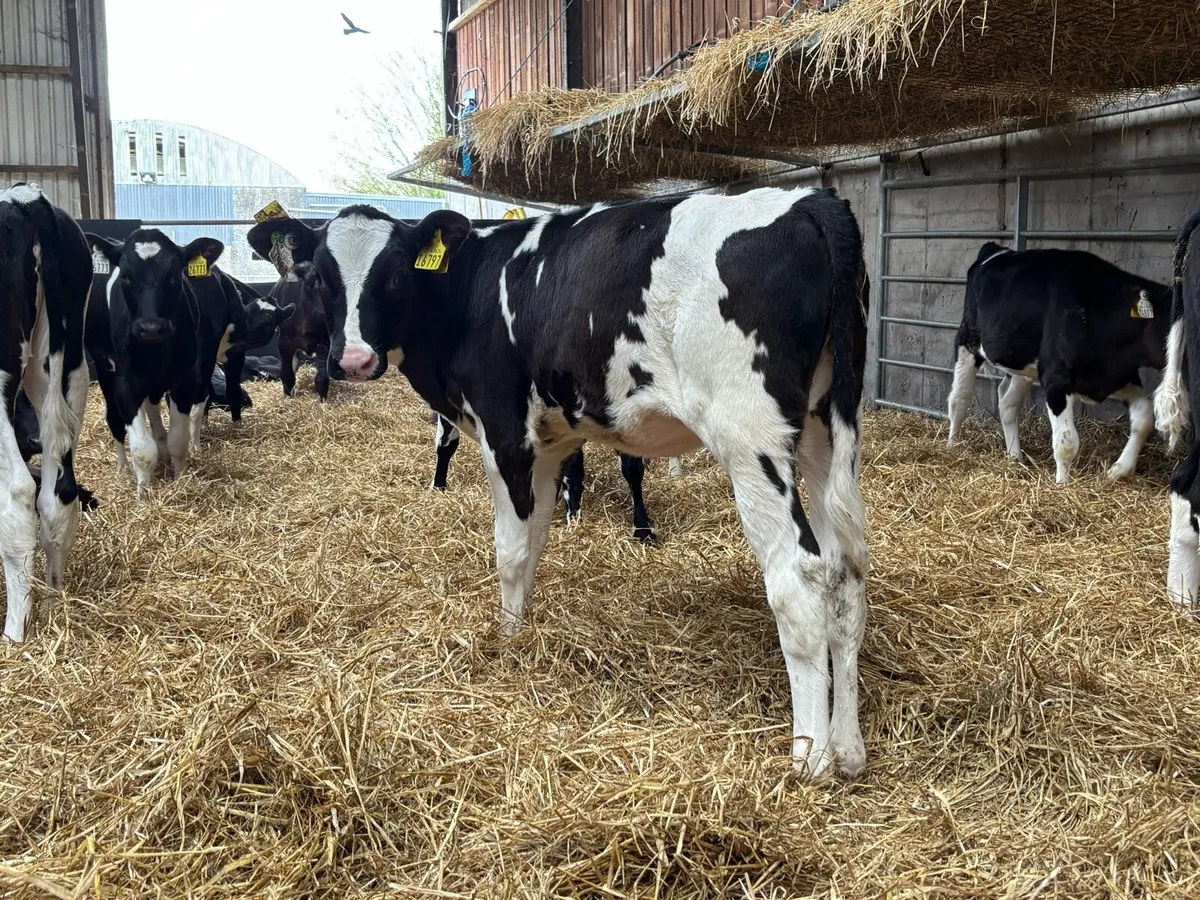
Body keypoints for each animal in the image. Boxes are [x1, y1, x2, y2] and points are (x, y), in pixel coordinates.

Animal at [85, 229, 217, 494]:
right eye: (125, 276)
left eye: (174, 274)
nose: (150, 327)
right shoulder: (126, 384)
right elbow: (143, 449)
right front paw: (143, 493)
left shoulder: (184, 380)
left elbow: (178, 440)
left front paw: (179, 479)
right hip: (105, 370)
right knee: (115, 421)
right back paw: (122, 470)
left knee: (154, 414)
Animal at [247, 186, 870, 779]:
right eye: (319, 276)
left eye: (397, 273)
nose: (351, 360)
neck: (468, 290)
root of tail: (812, 202)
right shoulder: (550, 444)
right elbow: (536, 540)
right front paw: (521, 633)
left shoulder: (505, 431)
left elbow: (509, 550)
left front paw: (505, 643)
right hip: (827, 431)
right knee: (847, 571)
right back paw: (849, 749)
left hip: (749, 436)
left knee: (799, 575)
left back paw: (811, 757)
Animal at [947, 243, 1171, 484]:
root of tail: (996, 249)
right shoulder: (1056, 377)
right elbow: (1066, 442)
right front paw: (1063, 484)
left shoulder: (1118, 377)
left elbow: (1144, 417)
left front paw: (1120, 469)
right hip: (968, 339)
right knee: (959, 398)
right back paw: (952, 445)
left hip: (1021, 361)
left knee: (1007, 403)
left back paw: (1015, 457)